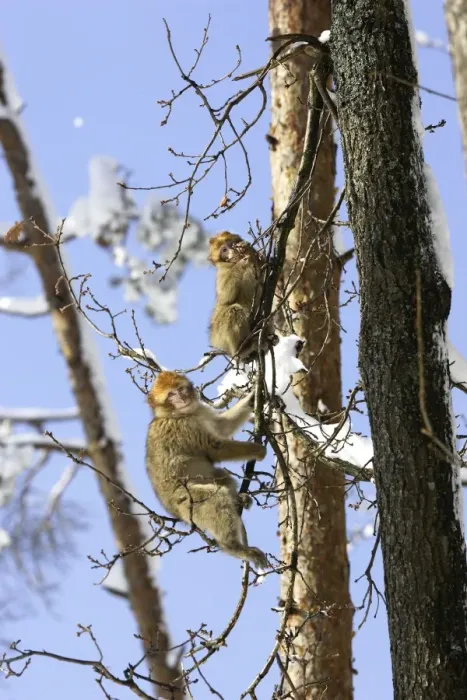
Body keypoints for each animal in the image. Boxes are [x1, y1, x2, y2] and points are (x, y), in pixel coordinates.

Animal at [145, 370, 269, 569]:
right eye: (171, 395)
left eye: (181, 389)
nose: (182, 397)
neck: (177, 414)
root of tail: (178, 516)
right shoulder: (185, 427)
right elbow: (215, 447)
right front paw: (258, 451)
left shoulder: (200, 412)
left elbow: (222, 426)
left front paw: (253, 397)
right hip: (188, 502)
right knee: (215, 499)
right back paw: (234, 548)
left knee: (222, 476)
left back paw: (239, 500)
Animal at [208, 231, 273, 360]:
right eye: (224, 250)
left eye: (231, 244)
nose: (232, 250)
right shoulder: (222, 271)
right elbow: (225, 297)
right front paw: (241, 262)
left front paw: (251, 251)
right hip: (219, 332)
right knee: (233, 310)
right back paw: (242, 349)